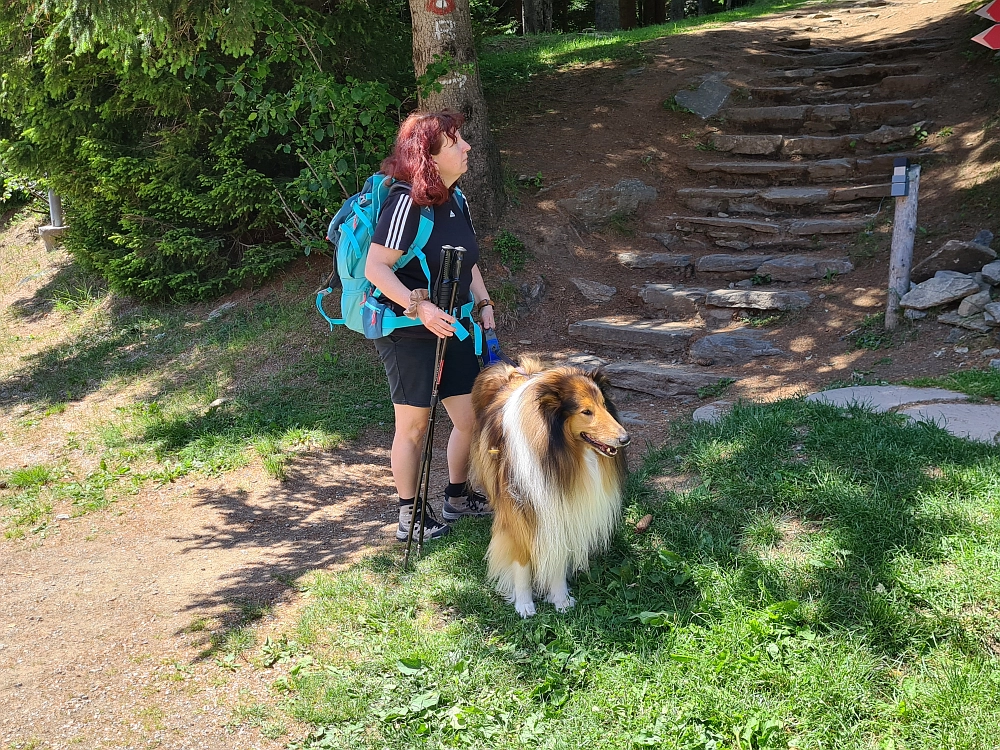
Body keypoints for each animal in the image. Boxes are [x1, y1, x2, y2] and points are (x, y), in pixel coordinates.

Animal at [470, 358, 628, 616]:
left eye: (605, 405)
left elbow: (558, 555)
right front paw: (524, 604)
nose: (625, 439)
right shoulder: (518, 514)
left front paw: (560, 598)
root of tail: (513, 372)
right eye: (586, 411)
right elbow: (521, 562)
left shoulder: (560, 509)